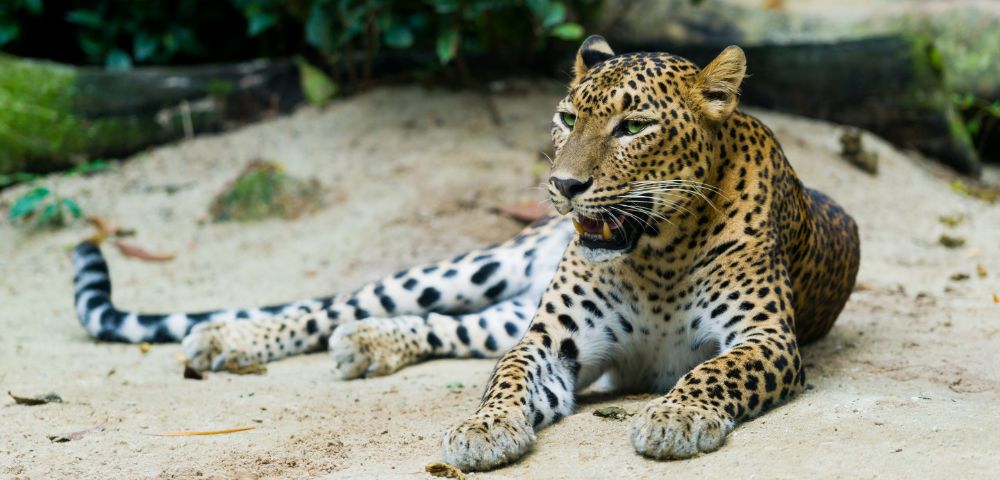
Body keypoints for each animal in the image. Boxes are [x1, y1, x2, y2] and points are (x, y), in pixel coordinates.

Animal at [70, 36, 859, 471]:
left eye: (634, 127)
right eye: (567, 116)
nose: (565, 186)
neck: (655, 256)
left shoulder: (766, 340)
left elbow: (711, 372)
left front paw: (674, 417)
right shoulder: (551, 340)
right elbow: (506, 379)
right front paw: (482, 429)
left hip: (502, 308)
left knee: (440, 328)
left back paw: (367, 345)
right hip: (477, 271)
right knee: (337, 305)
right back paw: (229, 338)